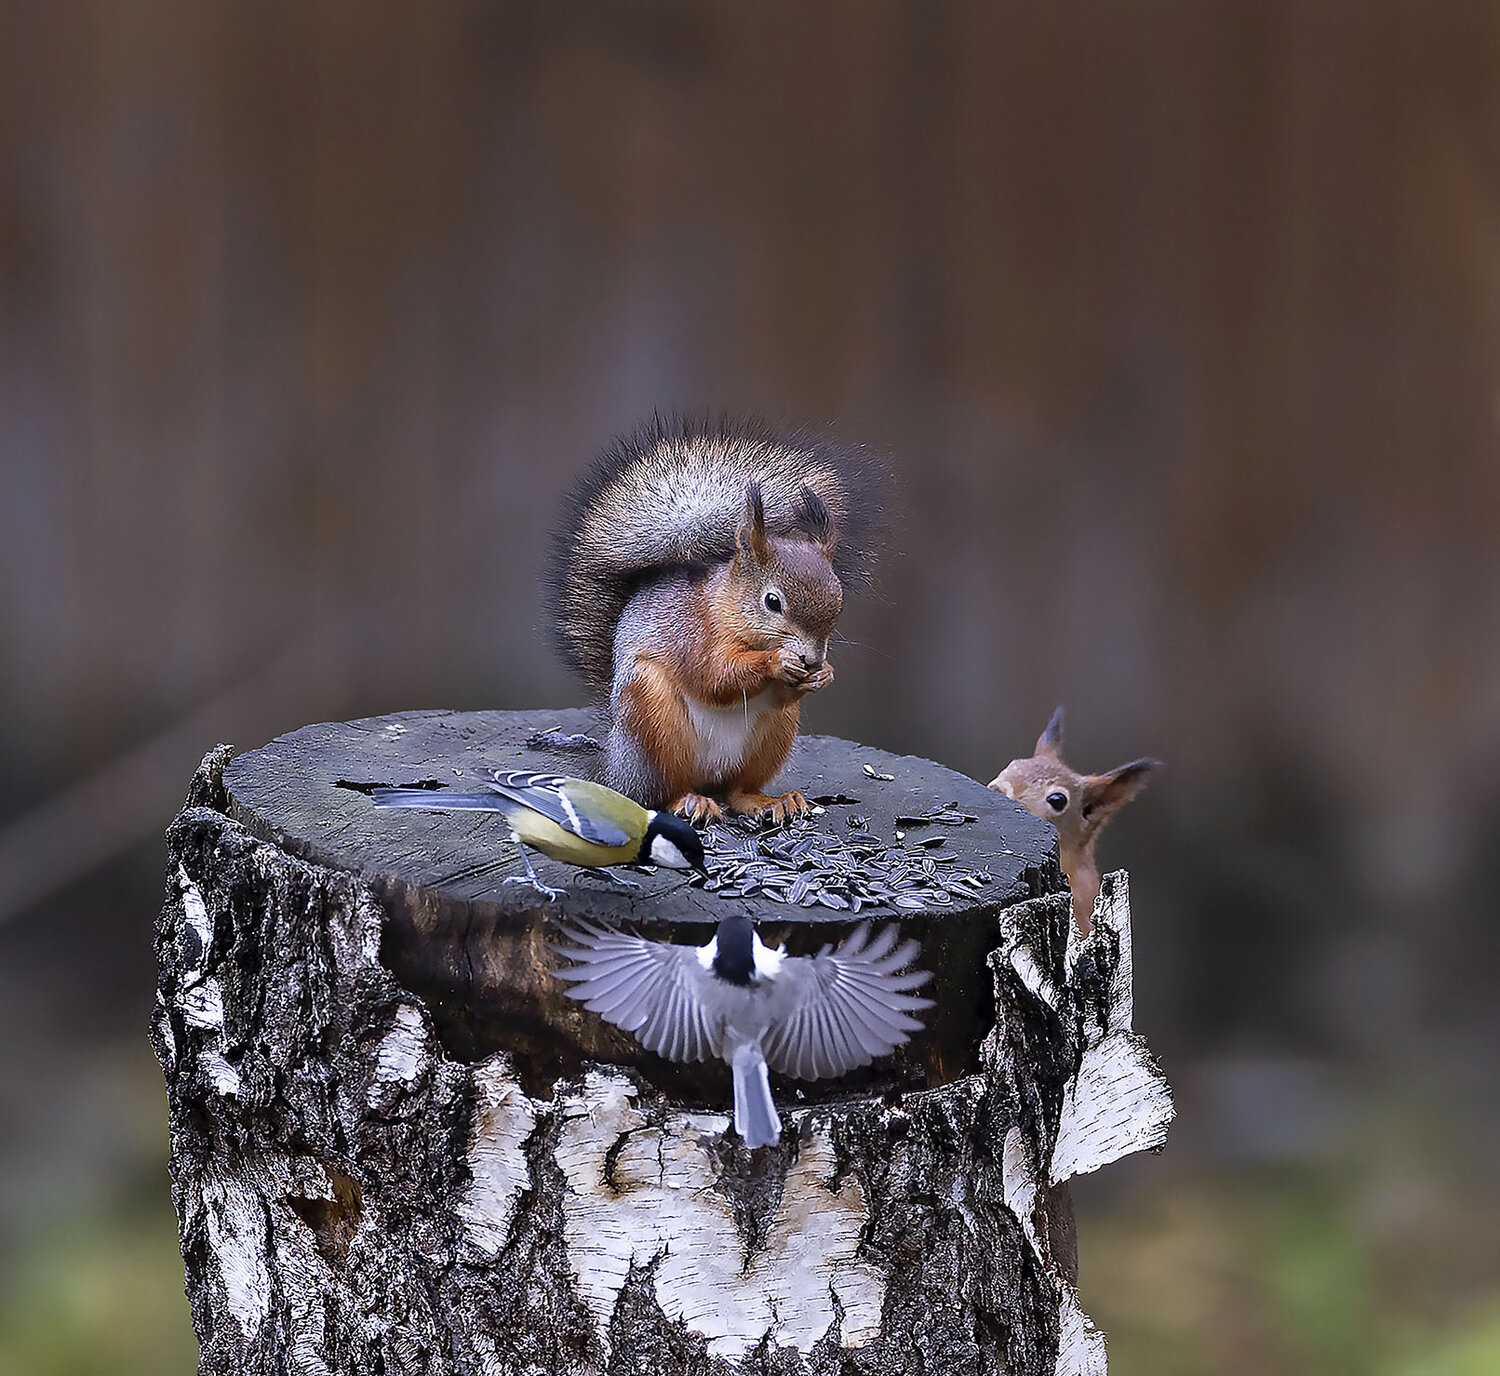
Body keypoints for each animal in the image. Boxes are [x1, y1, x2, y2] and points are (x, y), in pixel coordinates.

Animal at [549, 415, 882, 825]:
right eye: (773, 602)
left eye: (838, 604)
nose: (811, 659)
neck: (727, 609)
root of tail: (612, 765)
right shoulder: (692, 635)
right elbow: (714, 678)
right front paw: (777, 661)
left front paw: (824, 674)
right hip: (651, 715)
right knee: (666, 789)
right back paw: (691, 802)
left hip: (773, 736)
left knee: (738, 790)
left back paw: (771, 802)